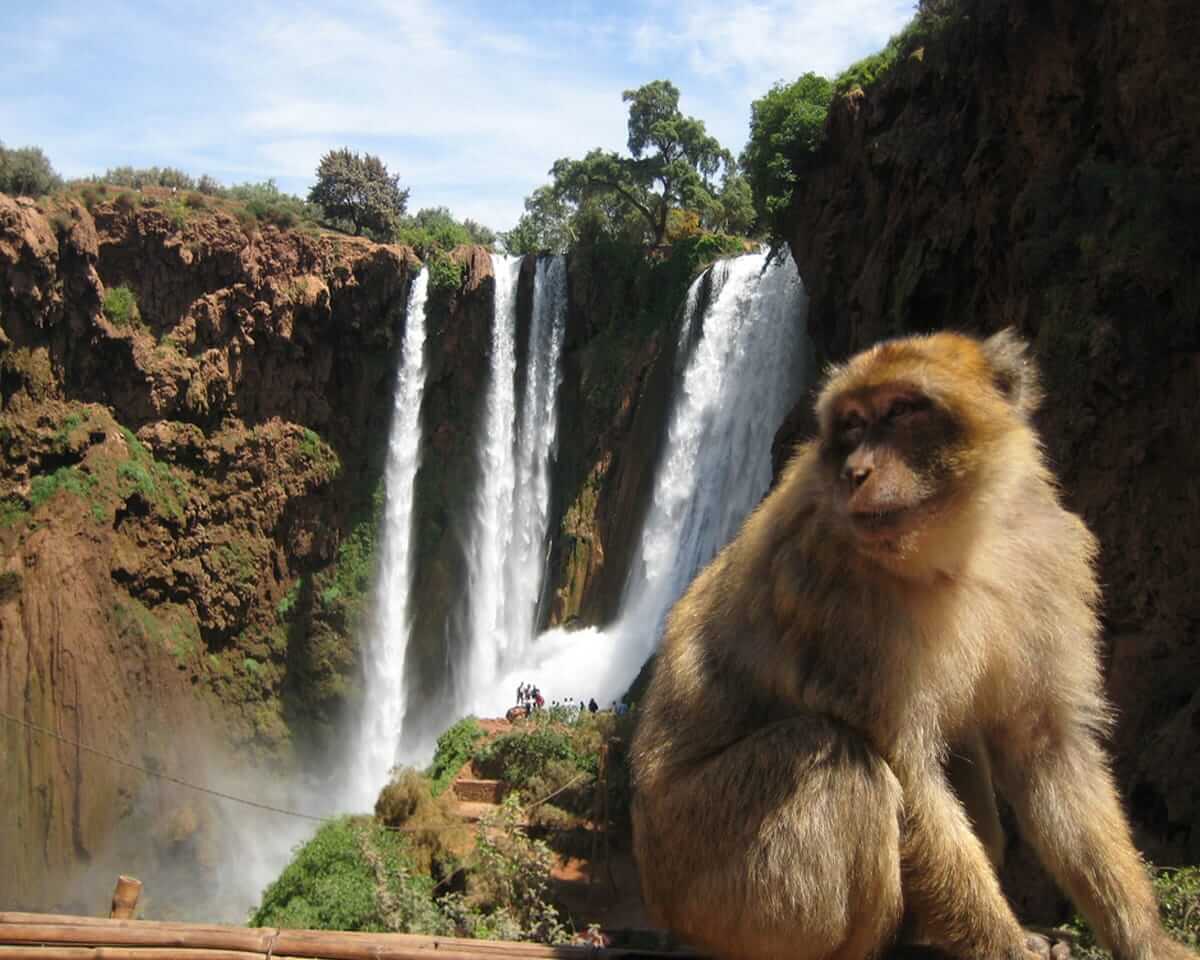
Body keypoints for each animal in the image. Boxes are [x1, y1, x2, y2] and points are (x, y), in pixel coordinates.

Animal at [633, 331, 1195, 960]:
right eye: (853, 423)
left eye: (902, 411)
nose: (856, 470)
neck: (955, 547)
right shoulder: (837, 597)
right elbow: (908, 768)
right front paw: (1002, 946)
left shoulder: (1045, 559)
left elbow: (1046, 746)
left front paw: (1145, 938)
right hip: (708, 876)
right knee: (836, 757)